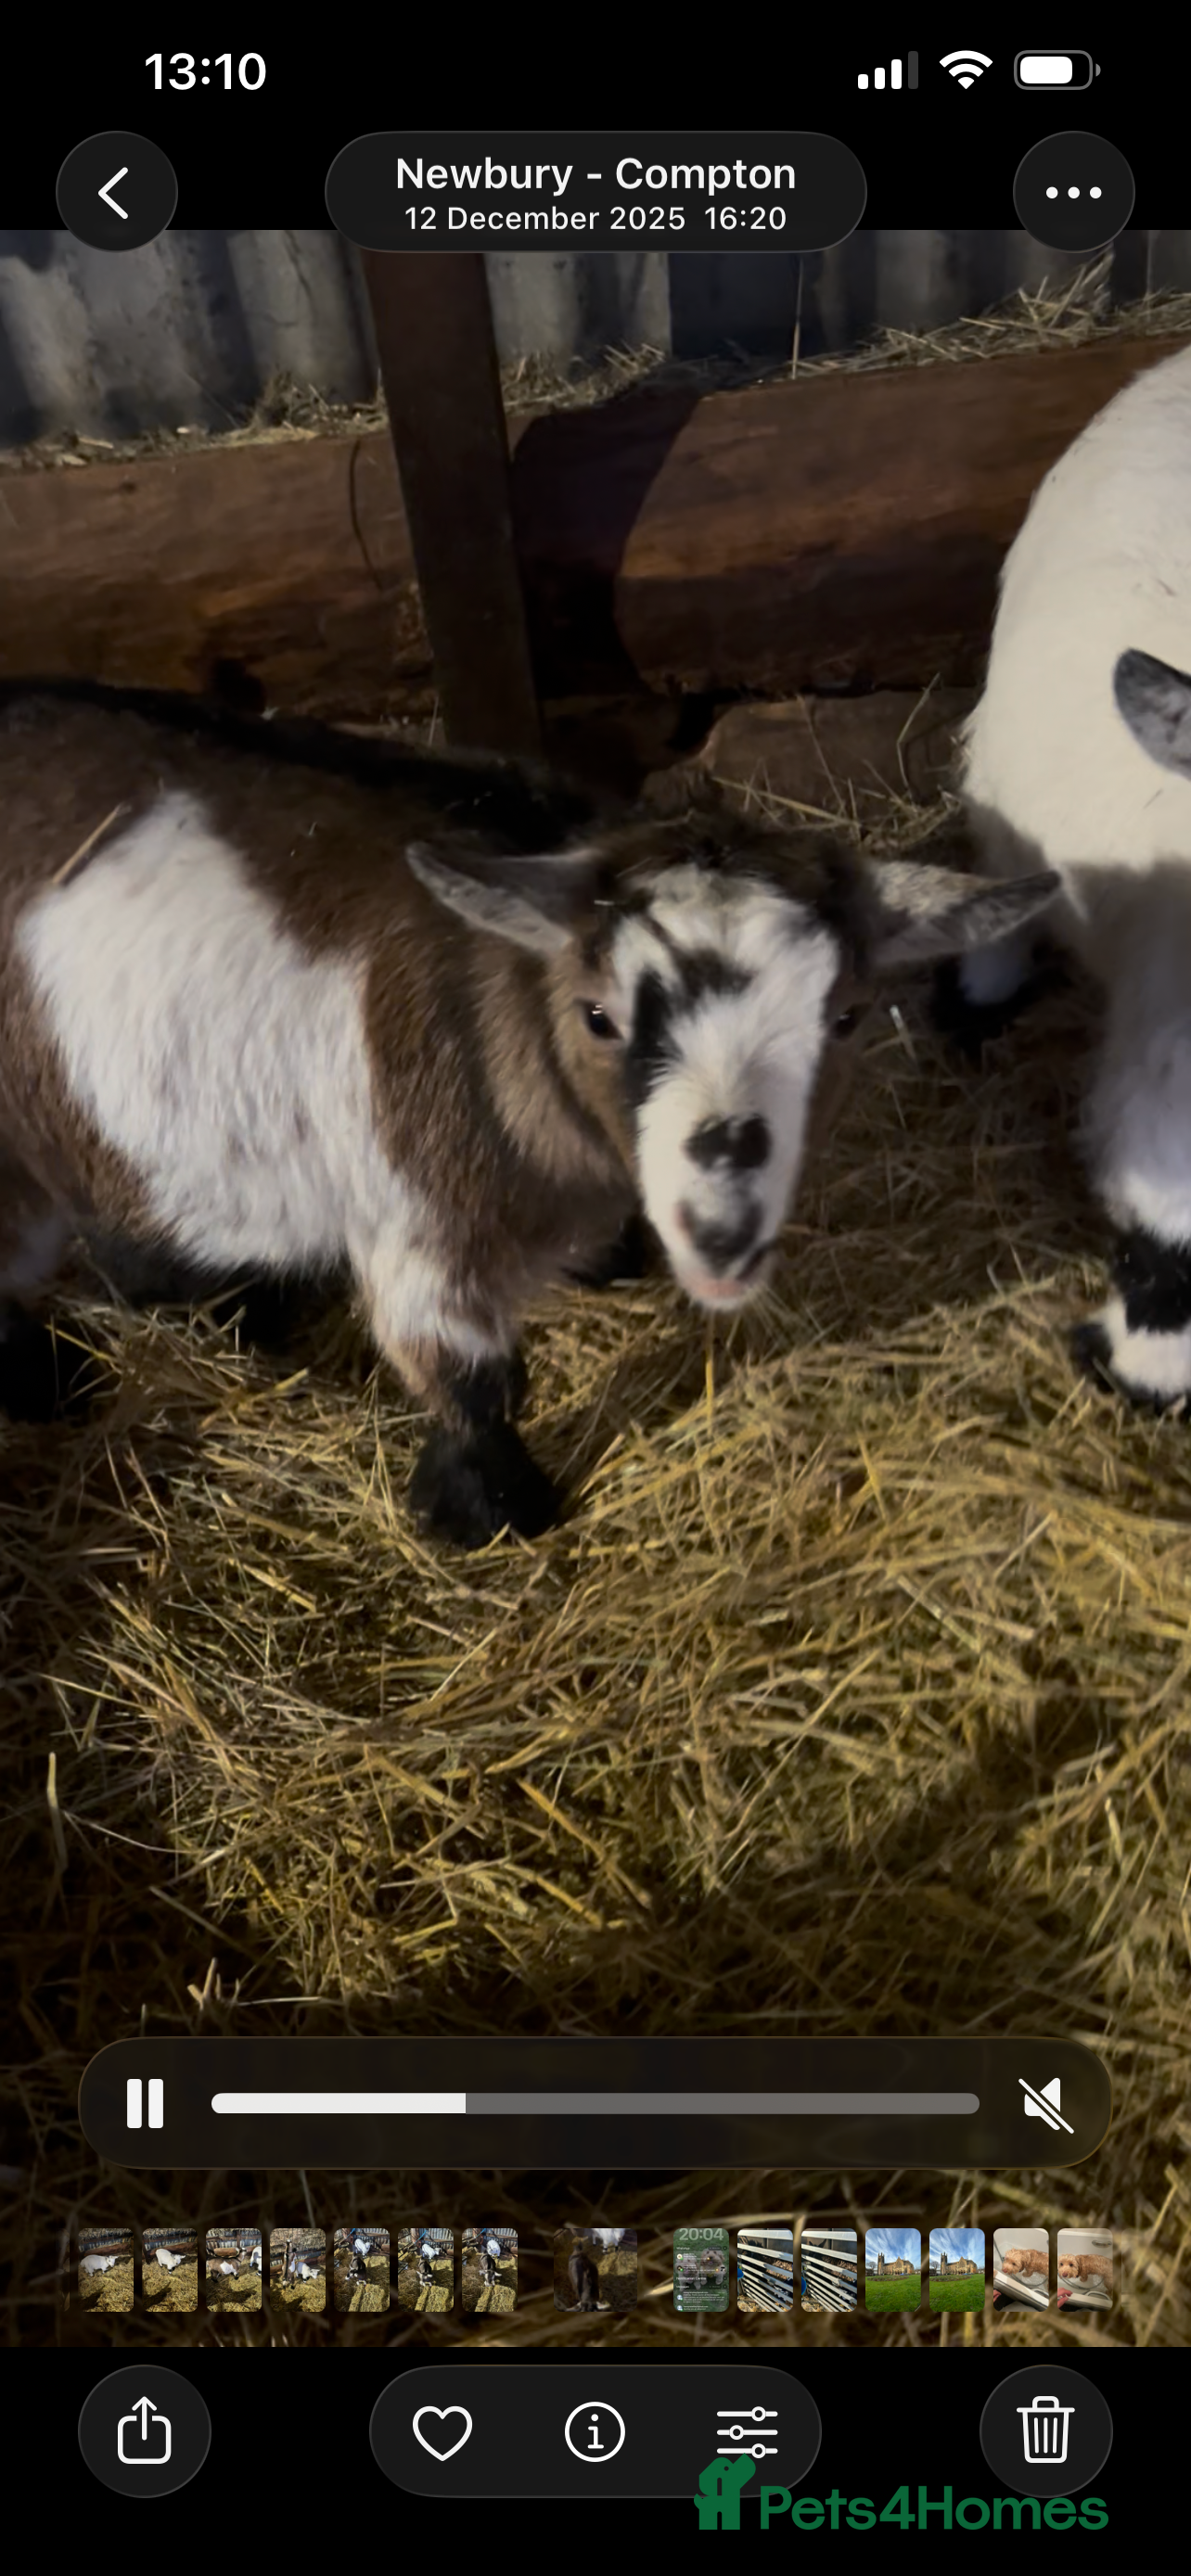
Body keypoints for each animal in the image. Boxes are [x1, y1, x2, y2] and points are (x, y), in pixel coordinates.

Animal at [0, 685, 1055, 1547]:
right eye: (598, 1015)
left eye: (844, 1017)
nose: (720, 1232)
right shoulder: (423, 1226)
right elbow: (474, 1379)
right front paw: (494, 1512)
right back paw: (53, 1382)